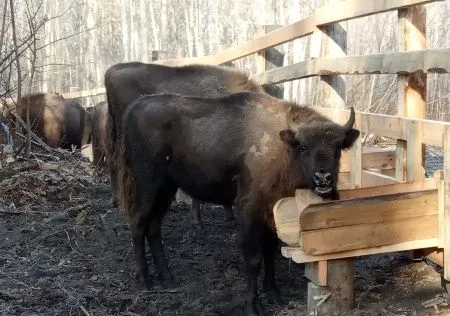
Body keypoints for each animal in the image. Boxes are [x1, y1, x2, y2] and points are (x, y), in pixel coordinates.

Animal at [116, 91, 358, 316]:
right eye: (304, 147)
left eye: (337, 148)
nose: (323, 179)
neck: (283, 148)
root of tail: (133, 108)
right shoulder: (249, 210)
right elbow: (253, 259)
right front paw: (254, 306)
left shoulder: (272, 212)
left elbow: (270, 253)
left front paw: (275, 295)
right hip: (148, 186)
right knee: (137, 224)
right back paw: (145, 281)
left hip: (166, 189)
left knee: (153, 227)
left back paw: (167, 277)